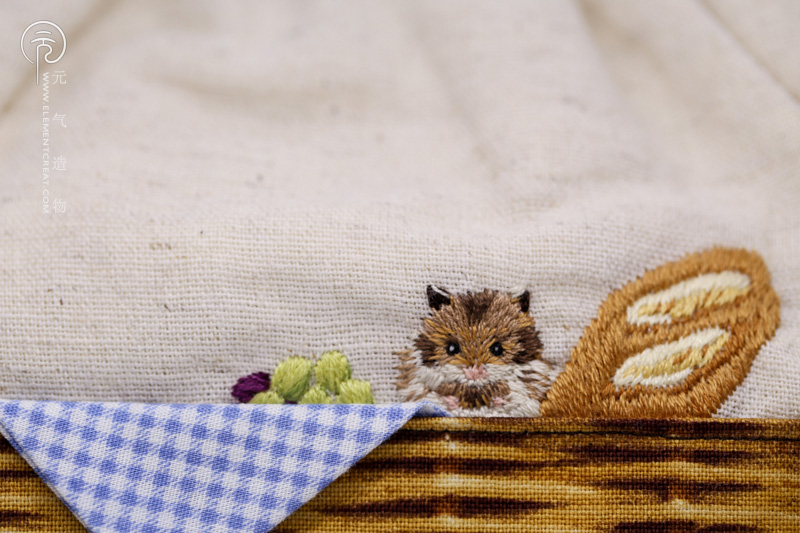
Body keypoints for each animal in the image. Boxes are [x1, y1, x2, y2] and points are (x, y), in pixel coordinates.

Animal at [396, 286, 556, 416]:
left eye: (497, 349)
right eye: (452, 348)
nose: (474, 373)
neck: (475, 390)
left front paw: (499, 400)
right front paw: (451, 401)